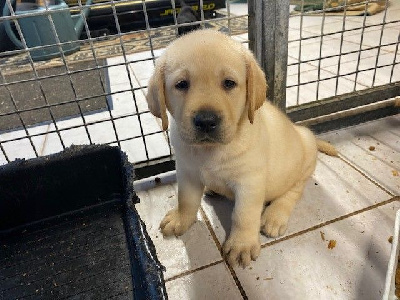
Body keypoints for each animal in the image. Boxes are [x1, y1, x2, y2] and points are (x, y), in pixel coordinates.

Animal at [146, 28, 332, 268]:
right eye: (181, 84)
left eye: (229, 83)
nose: (206, 121)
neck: (212, 151)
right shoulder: (187, 172)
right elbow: (186, 199)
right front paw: (181, 218)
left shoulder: (249, 183)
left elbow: (243, 215)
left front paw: (241, 244)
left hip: (304, 155)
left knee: (294, 190)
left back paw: (275, 216)